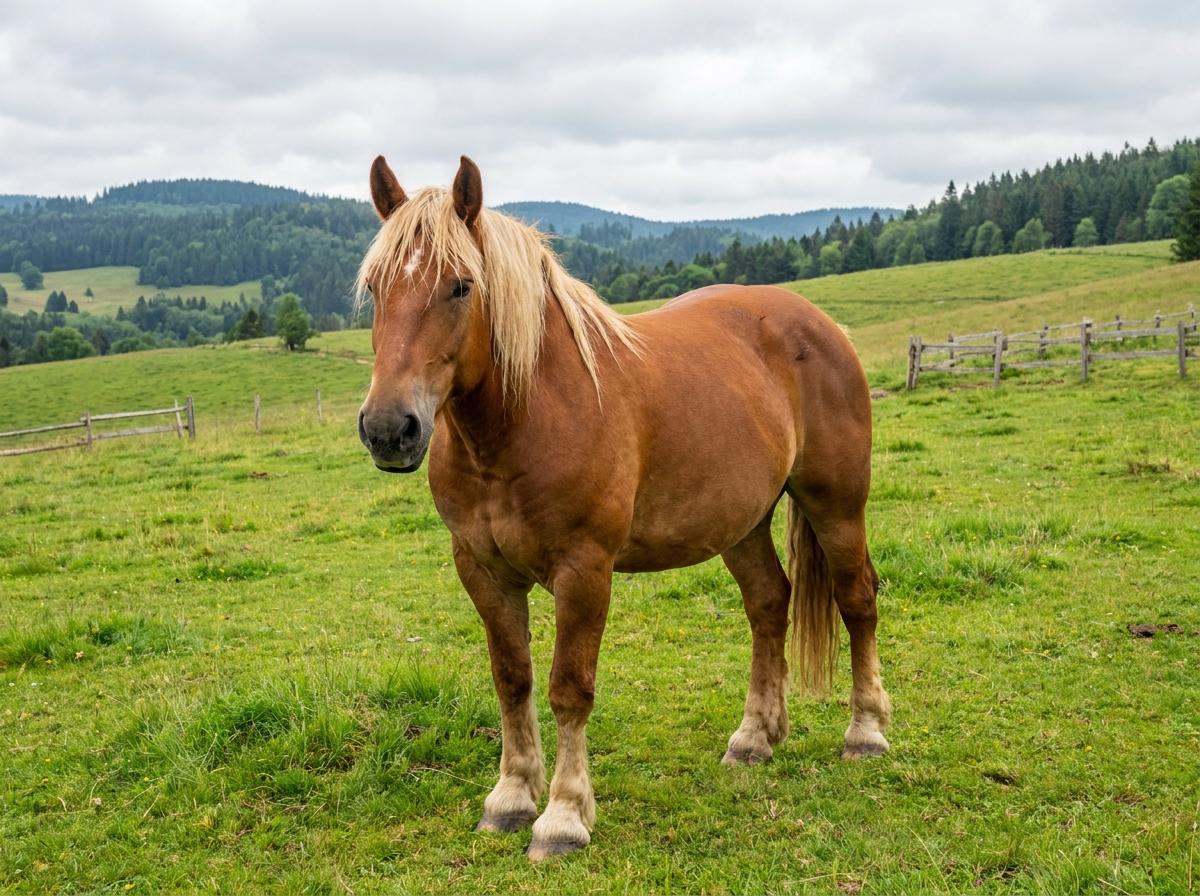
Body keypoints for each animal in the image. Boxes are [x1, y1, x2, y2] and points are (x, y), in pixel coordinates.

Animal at [355, 155, 891, 861]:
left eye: (461, 286)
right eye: (376, 287)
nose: (390, 429)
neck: (528, 418)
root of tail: (818, 322)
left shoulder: (584, 570)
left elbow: (569, 687)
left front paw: (562, 817)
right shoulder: (482, 570)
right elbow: (512, 678)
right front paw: (510, 799)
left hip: (836, 504)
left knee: (857, 599)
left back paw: (866, 732)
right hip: (742, 522)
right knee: (768, 604)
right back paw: (755, 738)